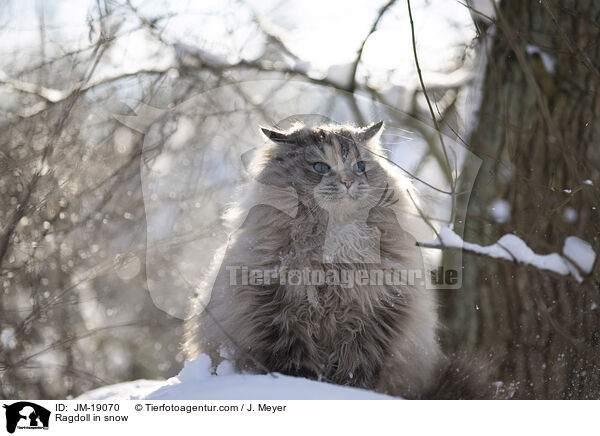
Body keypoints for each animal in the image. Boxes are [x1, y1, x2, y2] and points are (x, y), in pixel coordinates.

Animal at [185, 119, 490, 398]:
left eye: (360, 166)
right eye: (320, 167)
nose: (348, 181)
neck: (336, 244)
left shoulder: (372, 318)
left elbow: (357, 369)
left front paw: (350, 392)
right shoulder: (281, 314)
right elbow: (293, 362)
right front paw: (303, 385)